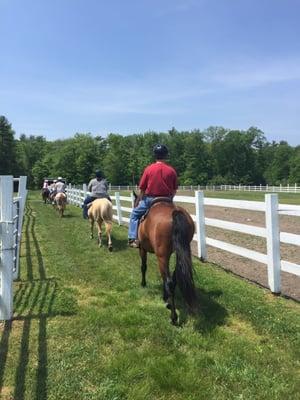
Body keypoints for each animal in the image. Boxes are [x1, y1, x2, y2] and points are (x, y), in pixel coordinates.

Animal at [134, 192, 197, 324]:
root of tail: (175, 213)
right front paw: (164, 297)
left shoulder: (142, 249)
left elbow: (143, 266)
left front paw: (143, 283)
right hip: (179, 253)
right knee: (174, 278)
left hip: (162, 256)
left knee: (169, 281)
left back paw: (173, 316)